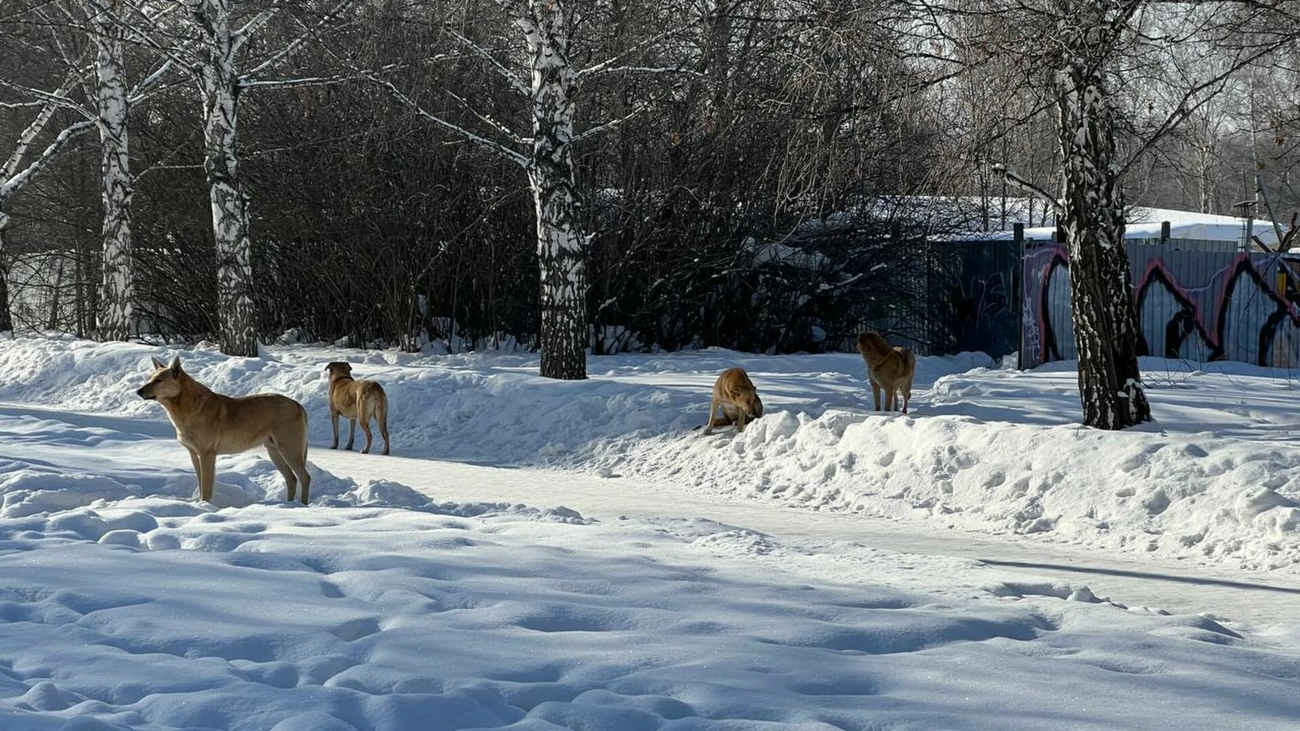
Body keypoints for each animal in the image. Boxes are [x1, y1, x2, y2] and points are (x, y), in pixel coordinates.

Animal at [137, 356, 312, 504]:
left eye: (159, 380)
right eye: (150, 378)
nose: (138, 391)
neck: (187, 407)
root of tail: (298, 404)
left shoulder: (207, 455)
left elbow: (207, 487)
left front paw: (205, 506)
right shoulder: (194, 454)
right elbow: (201, 484)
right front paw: (200, 504)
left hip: (289, 450)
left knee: (305, 478)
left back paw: (302, 506)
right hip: (274, 451)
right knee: (291, 479)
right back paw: (288, 505)